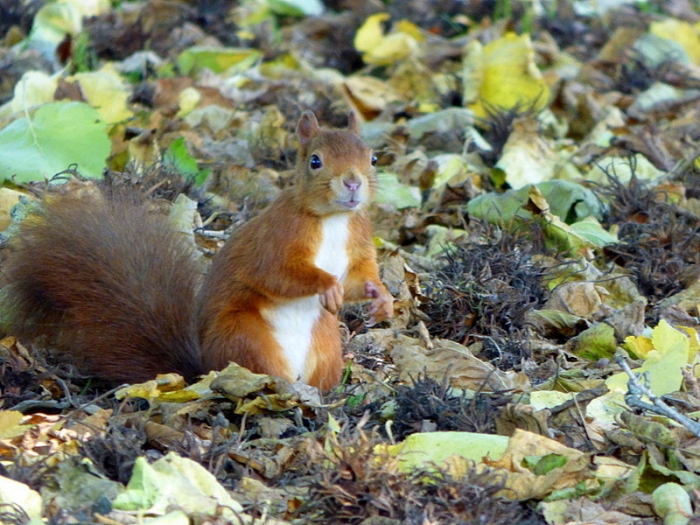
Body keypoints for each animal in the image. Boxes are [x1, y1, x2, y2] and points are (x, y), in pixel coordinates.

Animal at [1, 111, 393, 390]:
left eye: (373, 158)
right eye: (315, 161)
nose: (353, 182)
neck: (333, 219)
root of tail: (202, 371)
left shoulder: (358, 242)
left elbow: (359, 277)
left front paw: (382, 297)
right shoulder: (277, 239)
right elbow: (278, 273)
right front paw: (328, 286)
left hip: (326, 347)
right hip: (245, 338)